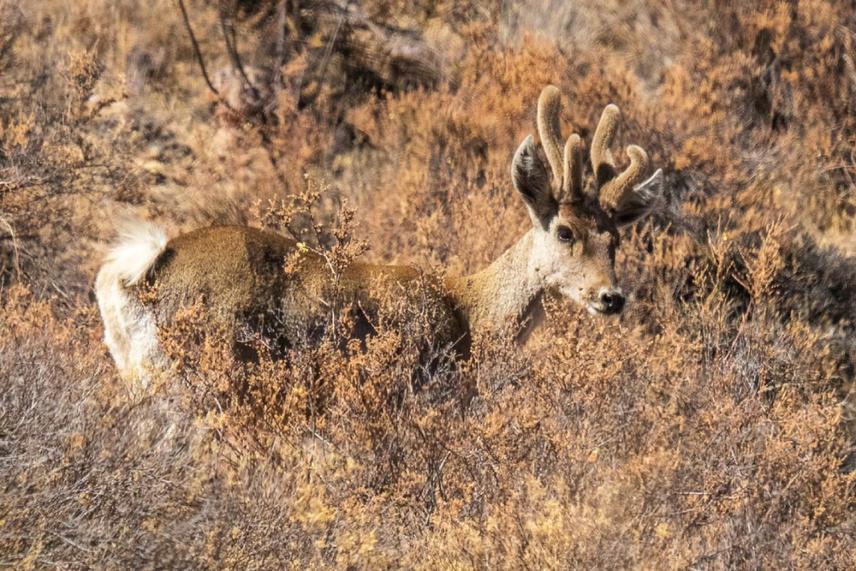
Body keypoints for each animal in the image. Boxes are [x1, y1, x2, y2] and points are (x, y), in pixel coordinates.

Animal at [95, 85, 663, 388]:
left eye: (615, 240)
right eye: (565, 231)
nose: (612, 297)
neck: (469, 315)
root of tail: (137, 273)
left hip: (139, 372)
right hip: (205, 367)